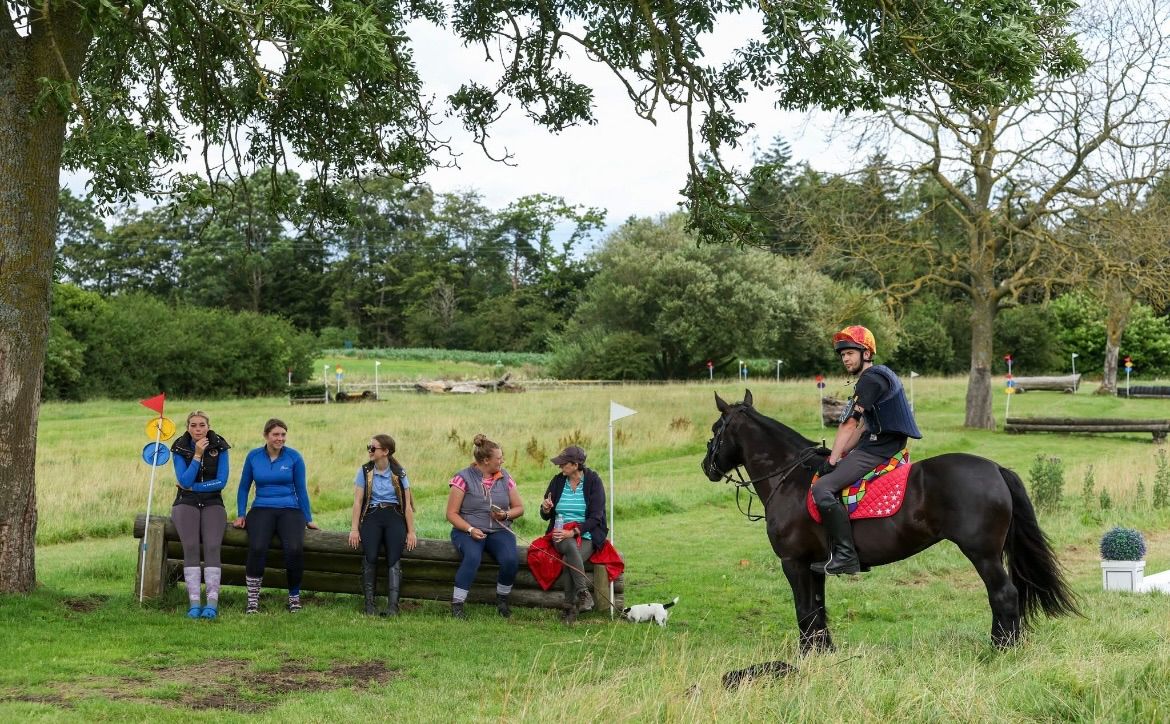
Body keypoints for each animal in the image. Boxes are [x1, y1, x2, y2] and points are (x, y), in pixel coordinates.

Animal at [702, 392, 1076, 654]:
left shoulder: (793, 562)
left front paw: (807, 657)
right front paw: (823, 653)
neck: (790, 477)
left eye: (716, 430)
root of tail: (996, 469)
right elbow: (818, 610)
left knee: (1003, 595)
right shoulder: (813, 564)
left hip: (982, 553)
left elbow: (804, 610)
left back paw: (1002, 650)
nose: (707, 466)